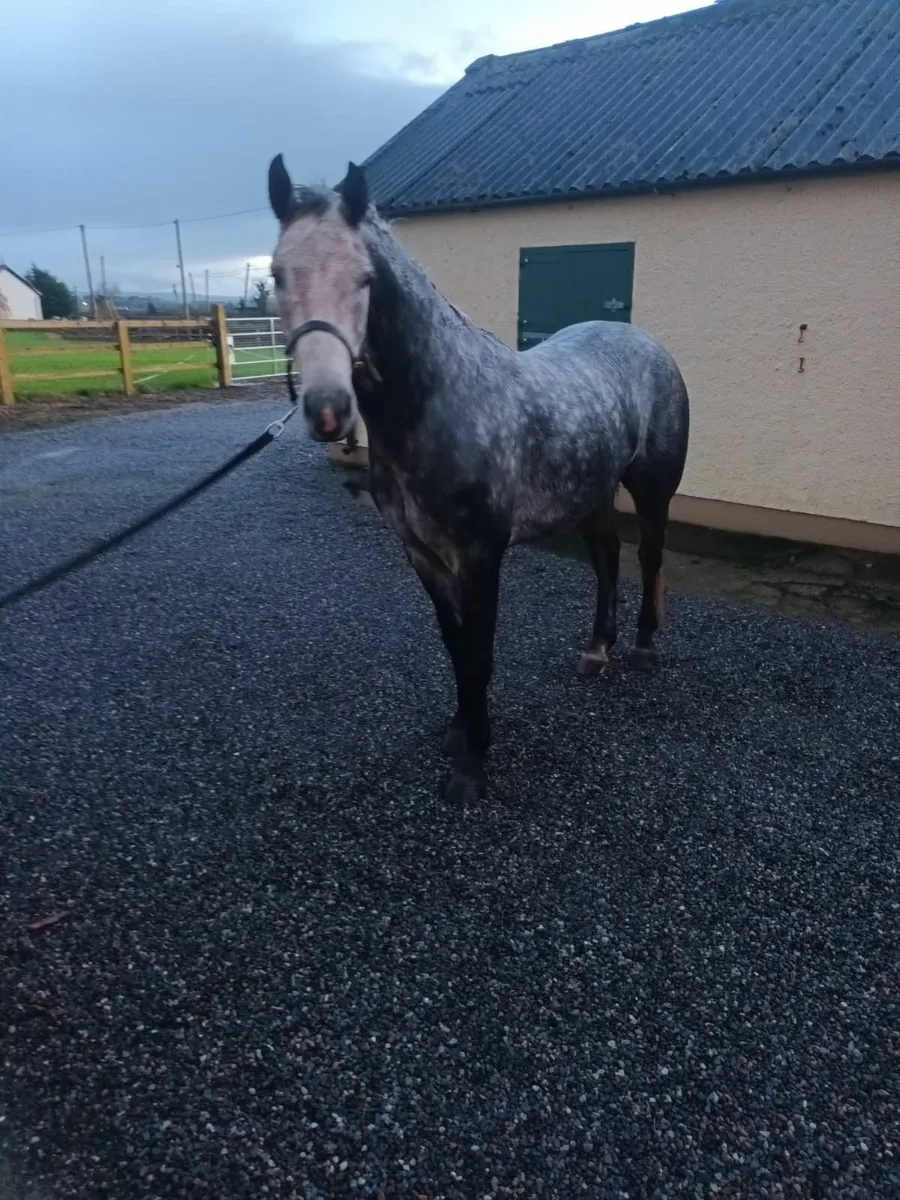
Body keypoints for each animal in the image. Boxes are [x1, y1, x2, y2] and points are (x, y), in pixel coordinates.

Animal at [267, 154, 690, 804]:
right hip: (590, 492)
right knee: (606, 558)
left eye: (365, 278)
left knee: (647, 556)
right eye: (276, 274)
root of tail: (646, 342)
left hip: (651, 488)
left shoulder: (481, 553)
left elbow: (480, 653)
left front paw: (473, 763)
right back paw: (598, 650)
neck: (439, 401)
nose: (328, 409)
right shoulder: (421, 553)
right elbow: (455, 646)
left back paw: (643, 648)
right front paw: (459, 730)